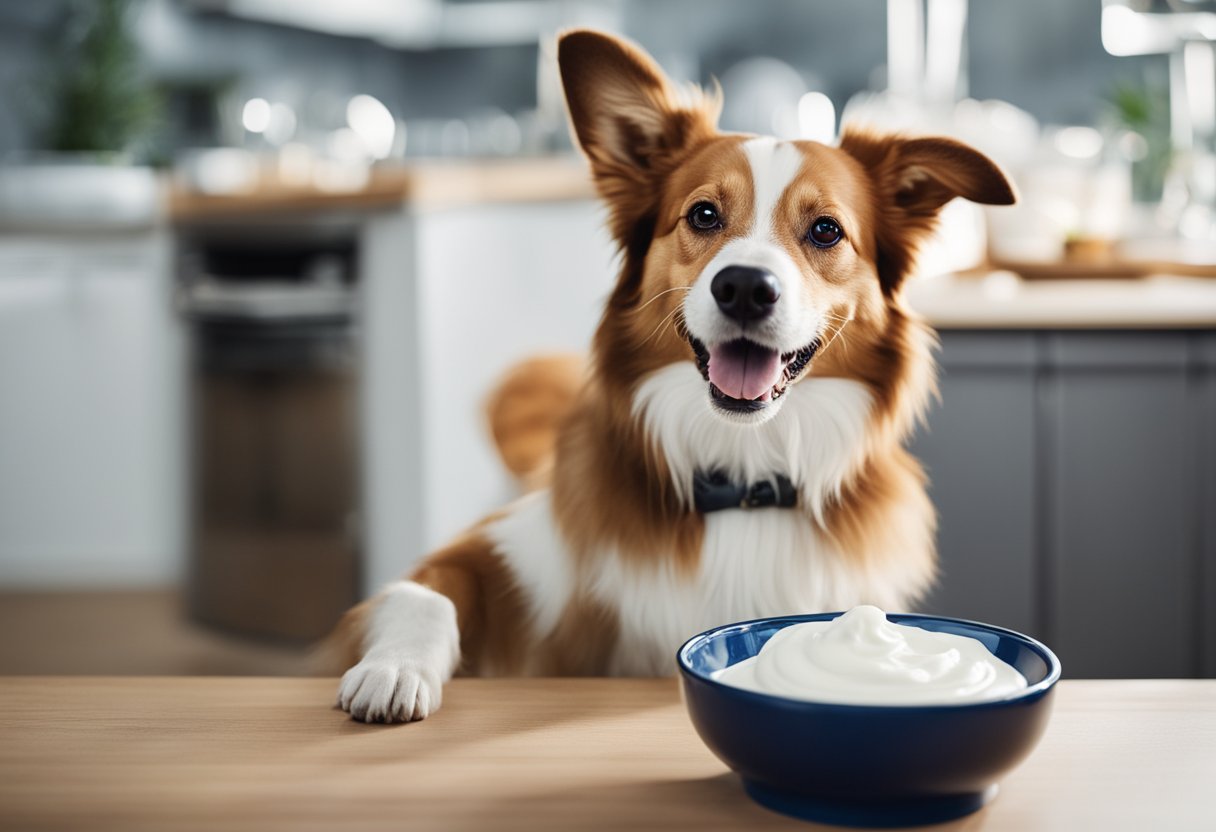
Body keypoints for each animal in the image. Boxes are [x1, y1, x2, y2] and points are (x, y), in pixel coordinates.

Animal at [328, 30, 1011, 720]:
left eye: (826, 230)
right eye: (704, 215)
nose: (744, 287)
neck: (744, 475)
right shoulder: (500, 550)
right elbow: (425, 591)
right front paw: (393, 669)